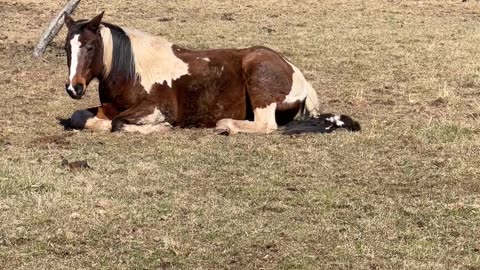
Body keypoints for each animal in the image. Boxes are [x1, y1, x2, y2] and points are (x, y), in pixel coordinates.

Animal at [62, 12, 360, 135]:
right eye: (67, 47)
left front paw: (161, 127)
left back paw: (226, 126)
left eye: (90, 46)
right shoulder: (109, 107)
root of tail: (297, 75)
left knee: (266, 126)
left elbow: (118, 124)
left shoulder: (153, 107)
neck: (131, 70)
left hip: (259, 84)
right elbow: (81, 117)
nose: (74, 88)